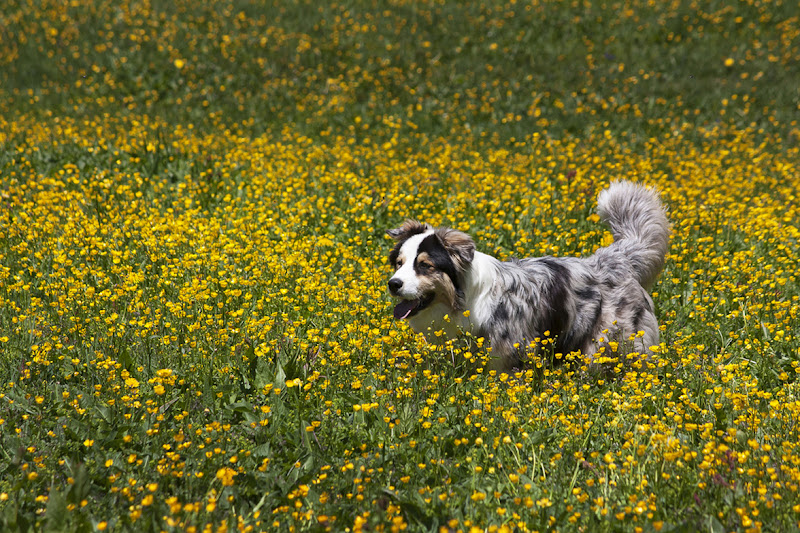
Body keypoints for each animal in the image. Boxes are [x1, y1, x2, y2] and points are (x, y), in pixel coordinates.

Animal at [386, 180, 668, 370]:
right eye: (399, 263)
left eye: (425, 265)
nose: (393, 284)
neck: (463, 299)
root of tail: (616, 258)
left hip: (608, 344)